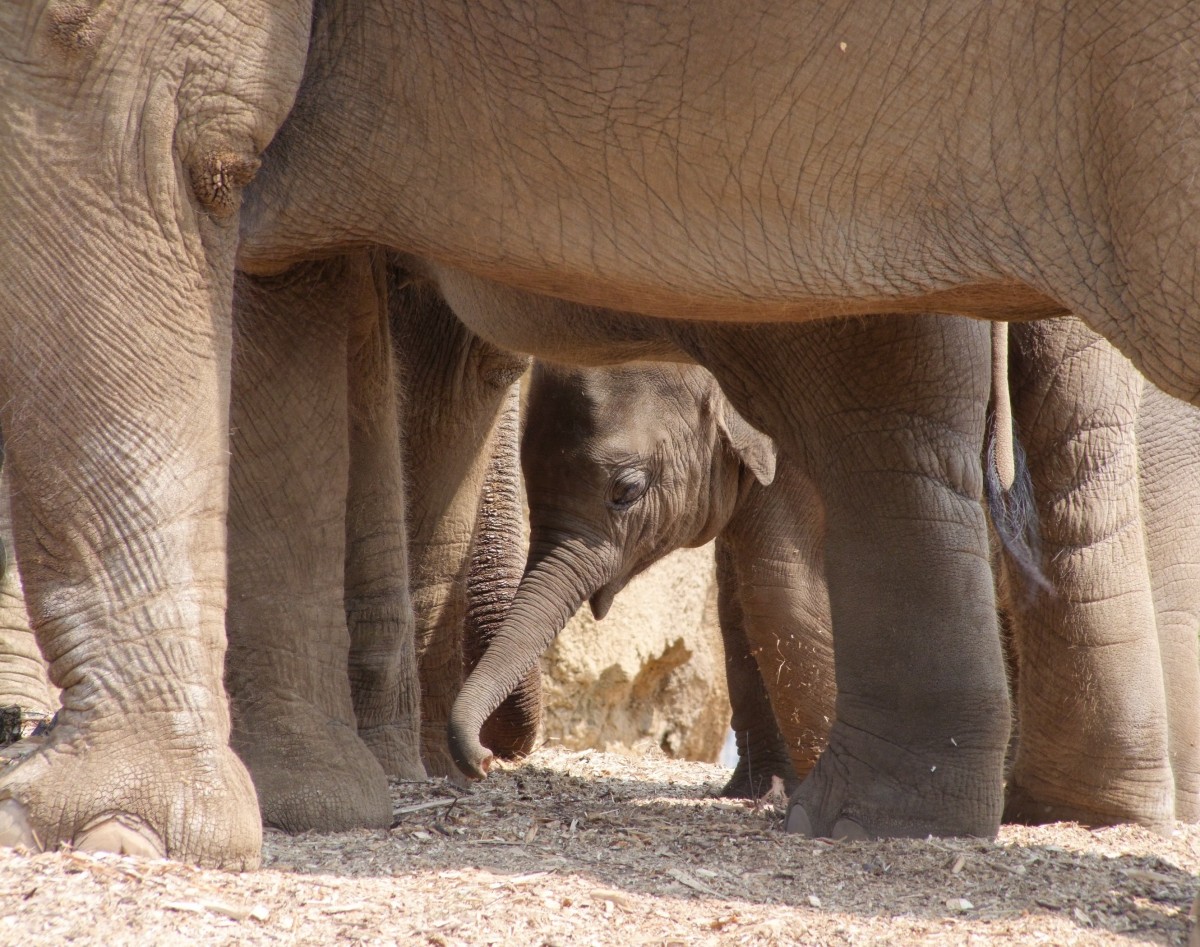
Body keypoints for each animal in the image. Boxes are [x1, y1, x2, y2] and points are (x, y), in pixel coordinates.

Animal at [2, 0, 1200, 859]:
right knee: (911, 423)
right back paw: (901, 820)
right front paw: (307, 807)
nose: (480, 757)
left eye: (625, 492)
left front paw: (103, 827)